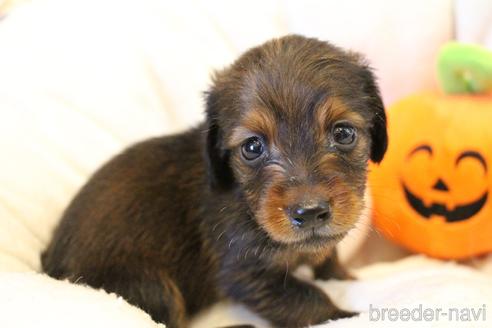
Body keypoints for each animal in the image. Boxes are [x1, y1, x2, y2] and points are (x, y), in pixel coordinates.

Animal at [41, 36, 388, 328]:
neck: (245, 203)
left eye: (343, 133)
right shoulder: (246, 274)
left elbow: (328, 260)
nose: (311, 212)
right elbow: (309, 300)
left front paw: (344, 276)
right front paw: (346, 315)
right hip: (151, 287)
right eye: (252, 147)